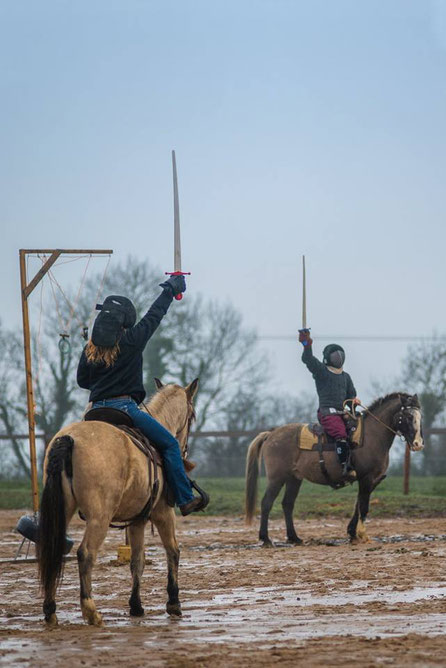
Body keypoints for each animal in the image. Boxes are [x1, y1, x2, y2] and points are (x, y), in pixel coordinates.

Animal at [37, 378, 198, 628]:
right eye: (192, 416)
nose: (184, 450)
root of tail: (69, 438)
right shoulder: (163, 513)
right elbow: (173, 550)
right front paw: (173, 603)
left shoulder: (137, 520)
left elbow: (137, 561)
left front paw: (136, 606)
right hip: (99, 517)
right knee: (85, 553)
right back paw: (91, 611)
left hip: (62, 510)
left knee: (53, 549)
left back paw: (50, 610)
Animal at [246, 394, 424, 544]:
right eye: (408, 416)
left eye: (419, 417)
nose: (418, 444)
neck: (371, 436)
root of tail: (271, 433)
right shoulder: (366, 478)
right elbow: (364, 506)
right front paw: (362, 534)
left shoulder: (372, 480)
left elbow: (358, 504)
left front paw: (352, 533)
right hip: (277, 478)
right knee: (267, 503)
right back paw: (266, 539)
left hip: (294, 478)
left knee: (287, 504)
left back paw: (294, 537)